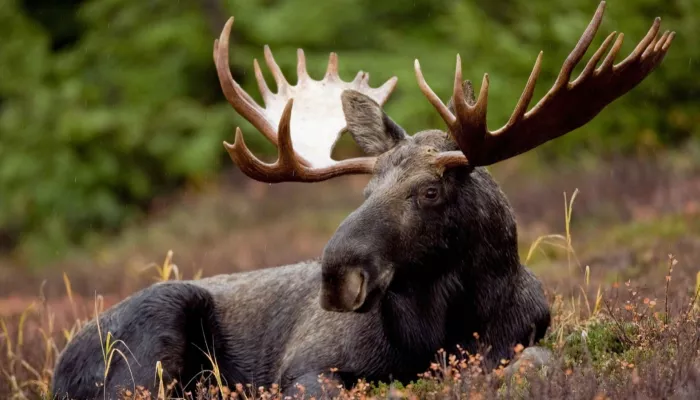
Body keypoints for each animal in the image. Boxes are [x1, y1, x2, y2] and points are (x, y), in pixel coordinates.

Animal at [50, 2, 672, 396]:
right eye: (367, 189)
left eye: (429, 191)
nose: (336, 277)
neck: (440, 331)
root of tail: (59, 364)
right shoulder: (306, 367)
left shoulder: (521, 342)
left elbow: (536, 364)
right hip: (150, 341)